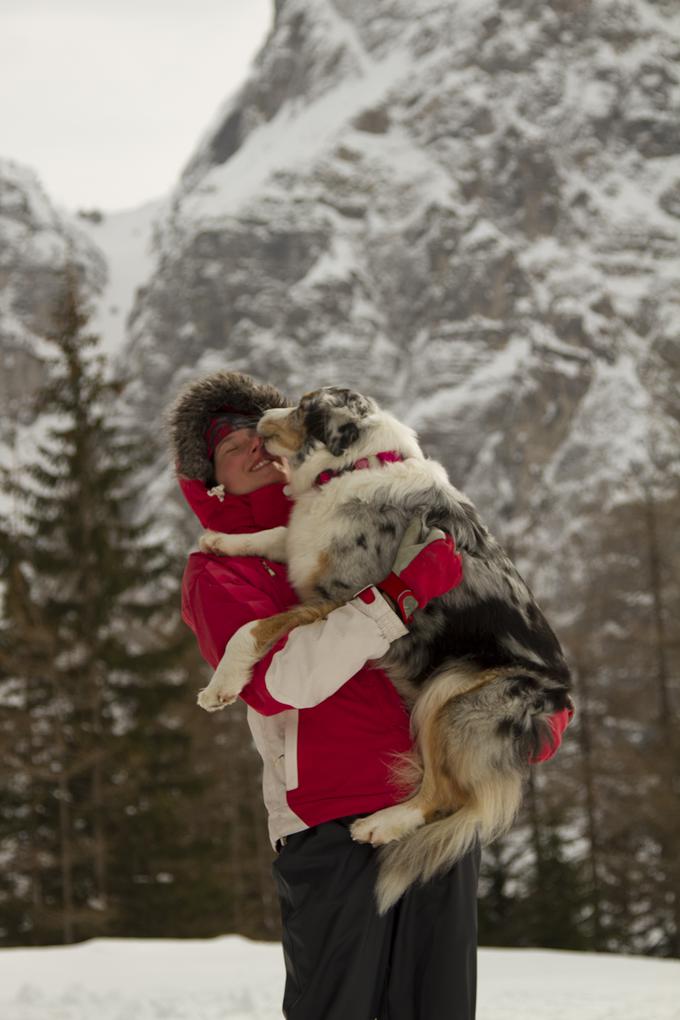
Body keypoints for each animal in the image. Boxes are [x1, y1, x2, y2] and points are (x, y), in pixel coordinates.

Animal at [196, 385, 574, 913]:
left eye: (303, 408)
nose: (259, 420)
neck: (355, 465)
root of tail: (560, 696)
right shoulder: (306, 559)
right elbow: (278, 535)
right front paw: (221, 540)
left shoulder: (336, 596)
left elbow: (252, 626)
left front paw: (221, 686)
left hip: (455, 696)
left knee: (442, 795)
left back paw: (382, 823)